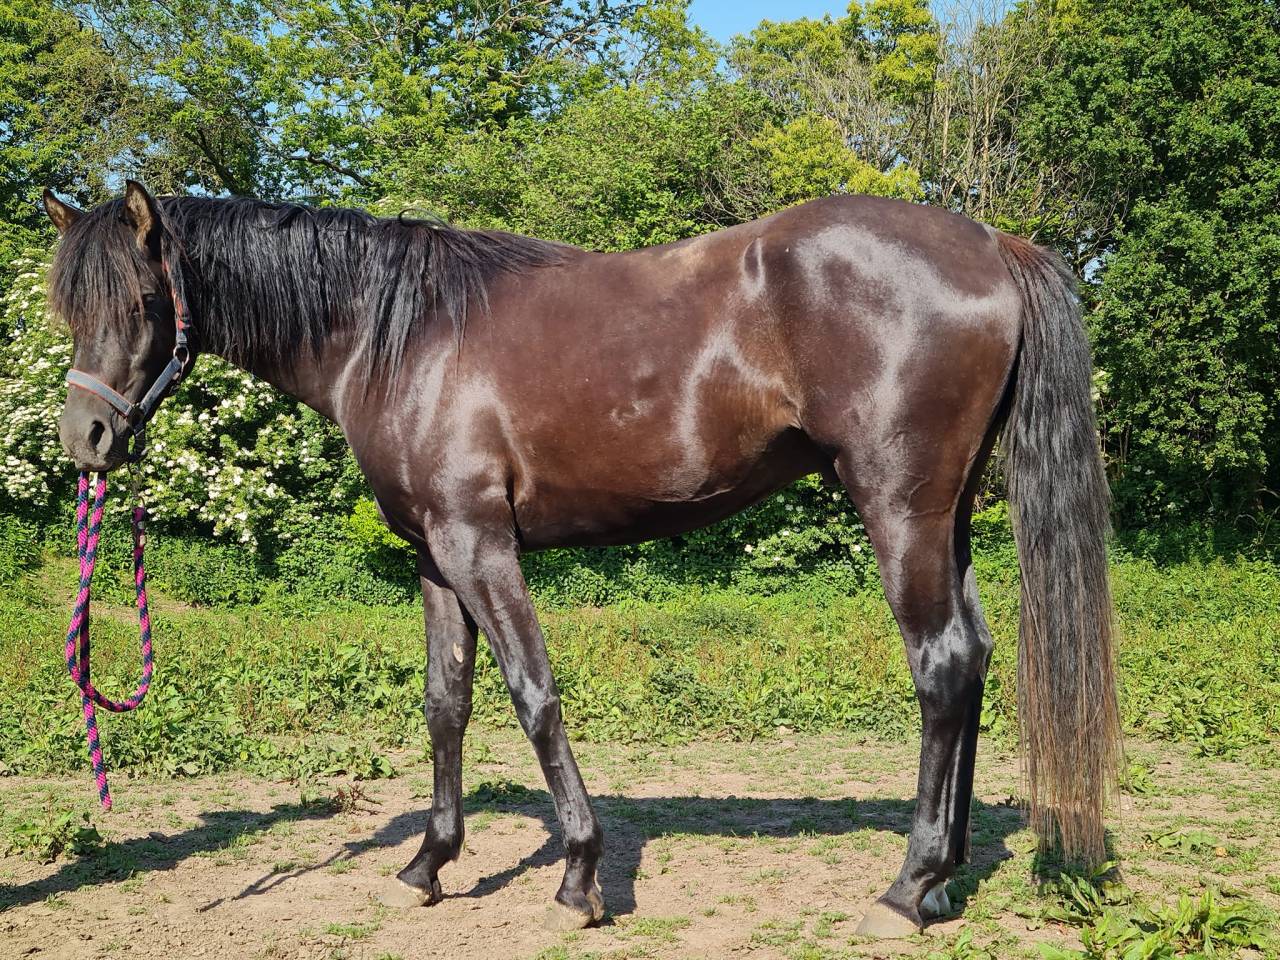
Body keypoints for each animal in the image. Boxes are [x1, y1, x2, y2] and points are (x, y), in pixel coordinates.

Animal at [43, 181, 1120, 938]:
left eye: (146, 299)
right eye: (69, 309)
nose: (84, 438)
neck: (400, 337)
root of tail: (991, 244)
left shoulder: (479, 542)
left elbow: (532, 694)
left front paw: (578, 875)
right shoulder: (433, 558)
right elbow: (445, 703)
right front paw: (428, 864)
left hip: (898, 508)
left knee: (940, 665)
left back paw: (905, 888)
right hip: (946, 517)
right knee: (973, 659)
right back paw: (942, 881)